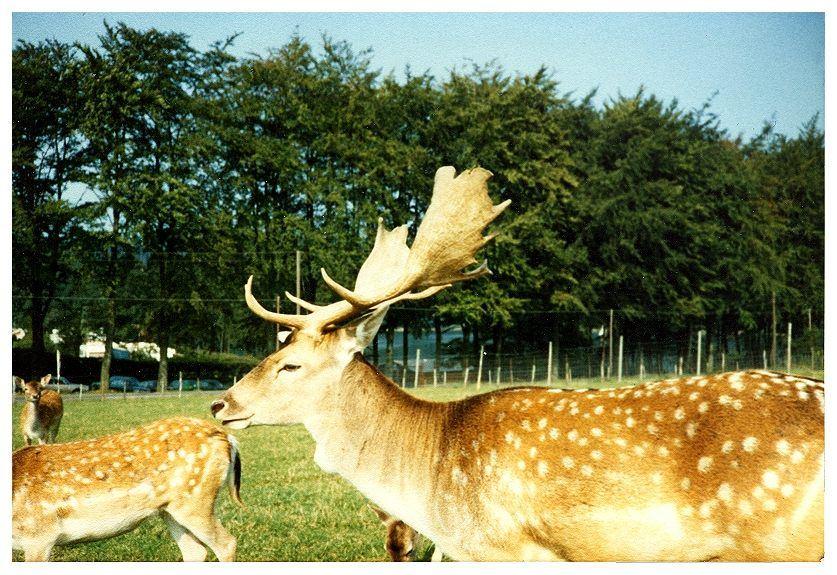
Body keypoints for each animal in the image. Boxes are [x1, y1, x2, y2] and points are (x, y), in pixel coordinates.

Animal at [13, 416, 242, 560]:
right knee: (195, 551)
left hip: (195, 501)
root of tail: (228, 439)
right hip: (170, 510)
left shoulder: (39, 536)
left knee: (227, 543)